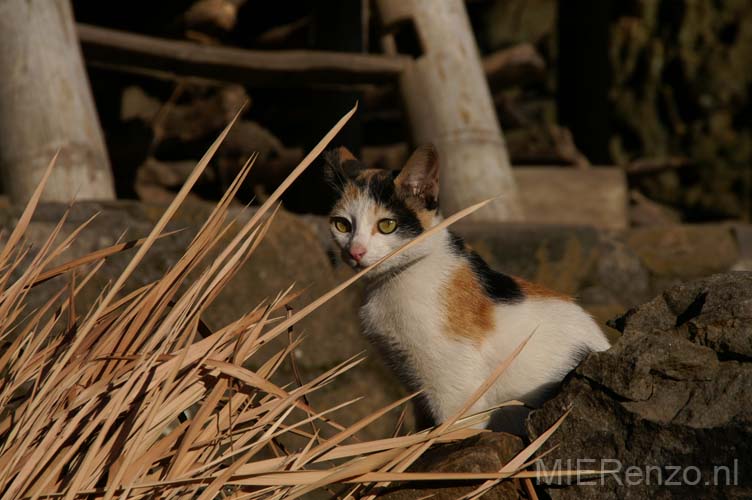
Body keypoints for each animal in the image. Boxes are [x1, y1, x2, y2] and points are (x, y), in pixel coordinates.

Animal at [324, 144, 612, 434]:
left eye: (386, 225)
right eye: (342, 225)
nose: (355, 252)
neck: (391, 282)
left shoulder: (456, 392)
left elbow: (450, 433)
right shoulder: (414, 387)